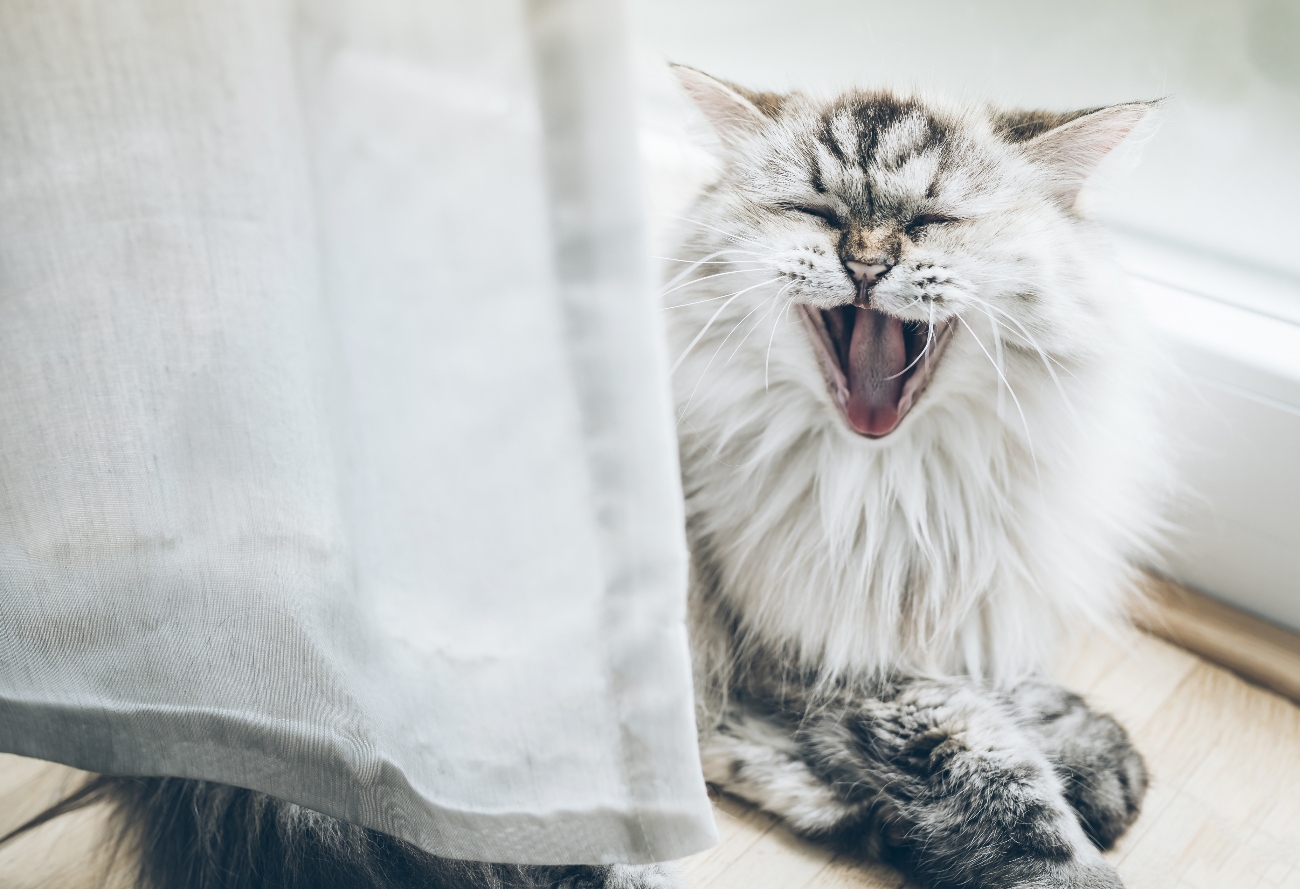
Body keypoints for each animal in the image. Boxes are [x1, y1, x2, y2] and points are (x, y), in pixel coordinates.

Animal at [2, 67, 1170, 889]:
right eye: (811, 210)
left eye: (931, 223)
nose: (868, 260)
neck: (897, 484)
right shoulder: (832, 651)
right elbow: (997, 782)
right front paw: (1065, 832)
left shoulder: (921, 601)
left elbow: (1006, 676)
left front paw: (1091, 749)